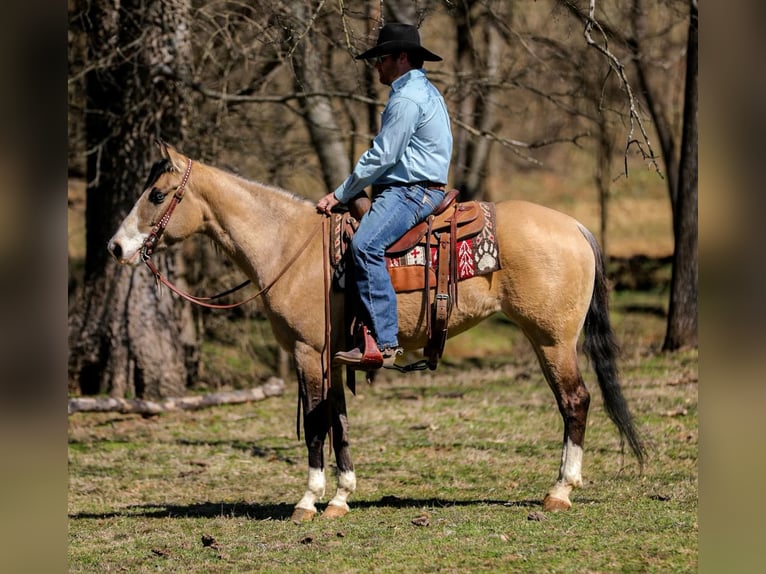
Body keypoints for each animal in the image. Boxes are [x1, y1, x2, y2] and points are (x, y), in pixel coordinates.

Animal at [108, 142, 645, 523]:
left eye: (157, 195)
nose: (116, 248)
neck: (290, 247)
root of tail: (575, 226)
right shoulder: (334, 355)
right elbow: (340, 422)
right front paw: (341, 498)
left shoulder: (308, 352)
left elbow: (317, 424)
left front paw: (307, 501)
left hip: (552, 341)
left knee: (575, 401)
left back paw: (560, 490)